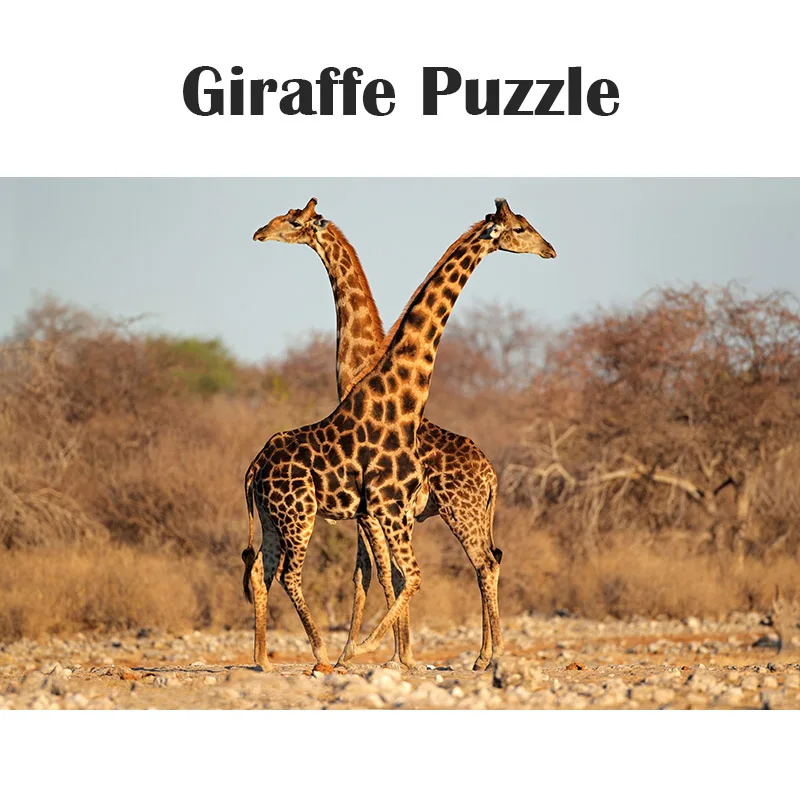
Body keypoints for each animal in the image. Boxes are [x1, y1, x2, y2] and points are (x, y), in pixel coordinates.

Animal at [241, 198, 556, 673]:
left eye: (292, 220)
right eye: (520, 227)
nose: (549, 249)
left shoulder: (382, 511)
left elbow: (386, 574)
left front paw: (388, 654)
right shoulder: (379, 510)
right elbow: (386, 574)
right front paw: (383, 653)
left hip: (445, 512)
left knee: (486, 561)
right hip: (297, 514)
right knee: (278, 572)